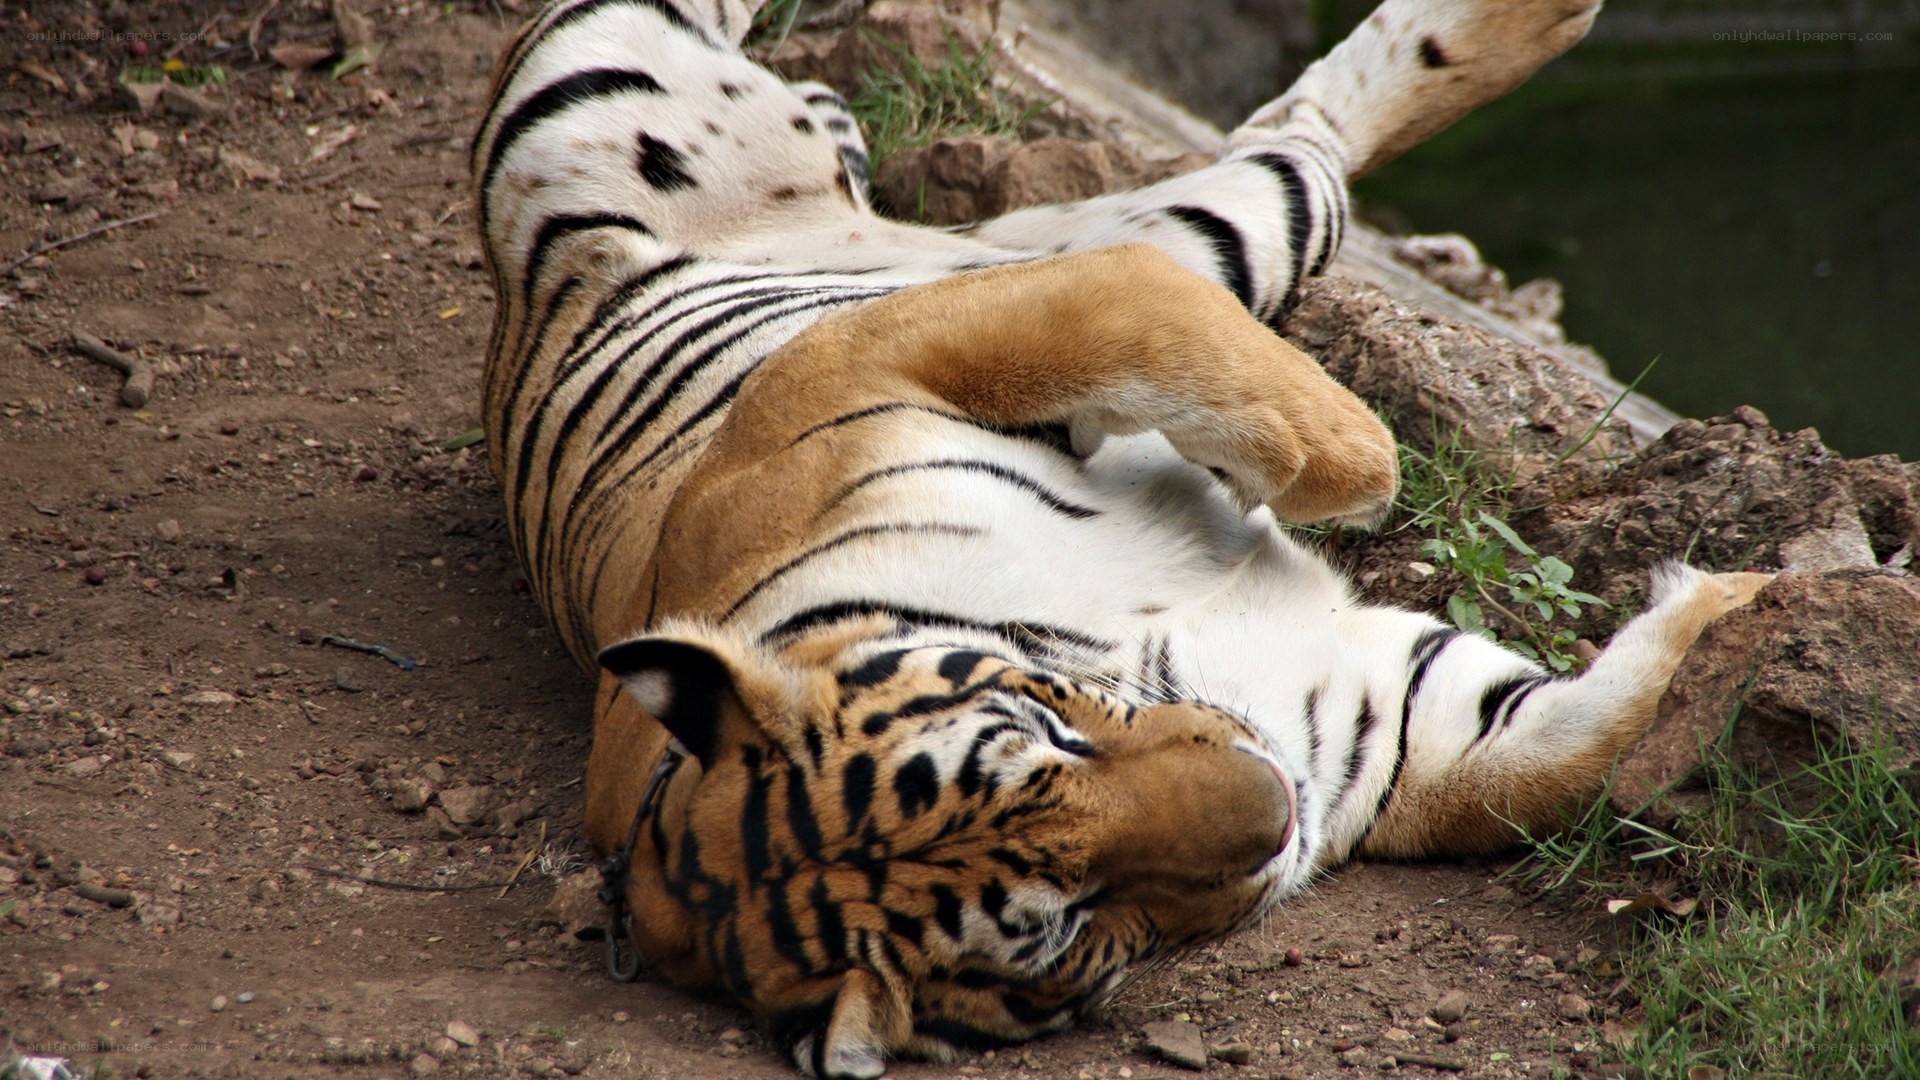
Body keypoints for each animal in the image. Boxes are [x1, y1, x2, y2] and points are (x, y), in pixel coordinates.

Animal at [470, 0, 1772, 1076]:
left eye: (1045, 733)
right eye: (1069, 922)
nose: (1272, 806)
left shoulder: (864, 361)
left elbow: (1150, 326)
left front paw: (1360, 472)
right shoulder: (1379, 724)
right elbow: (1556, 758)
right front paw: (1741, 600)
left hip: (624, 96)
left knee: (1255, 173)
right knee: (1282, 159)